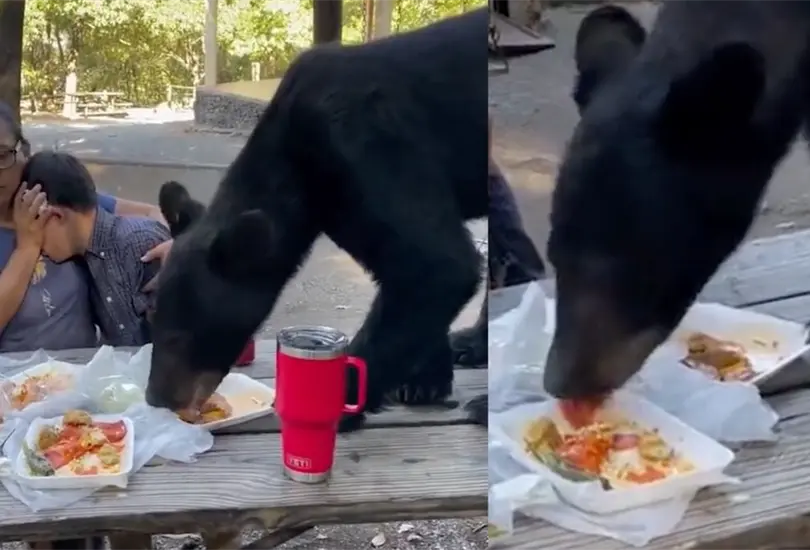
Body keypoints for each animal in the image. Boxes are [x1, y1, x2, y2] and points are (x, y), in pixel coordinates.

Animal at [145, 9, 489, 432]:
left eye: (181, 335)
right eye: (152, 315)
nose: (157, 399)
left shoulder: (365, 144)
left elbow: (437, 265)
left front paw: (339, 404)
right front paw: (425, 379)